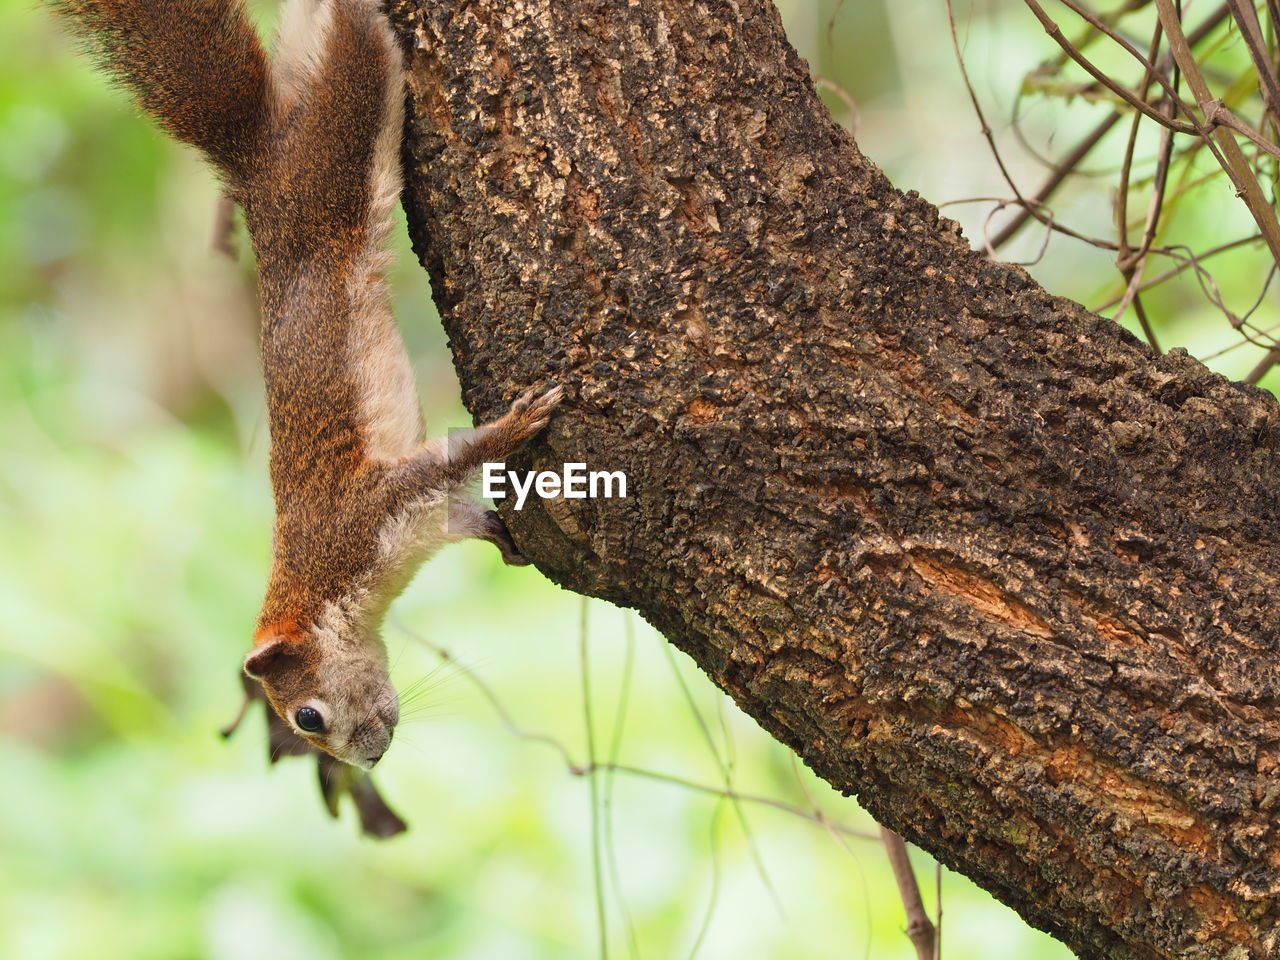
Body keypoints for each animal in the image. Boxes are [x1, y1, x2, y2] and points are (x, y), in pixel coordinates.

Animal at [53, 0, 565, 773]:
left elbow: (447, 461)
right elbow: (466, 514)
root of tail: (259, 166)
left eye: (308, 716)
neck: (324, 588)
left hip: (339, 138)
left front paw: (511, 428)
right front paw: (503, 537)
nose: (368, 763)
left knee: (353, 41)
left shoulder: (362, 515)